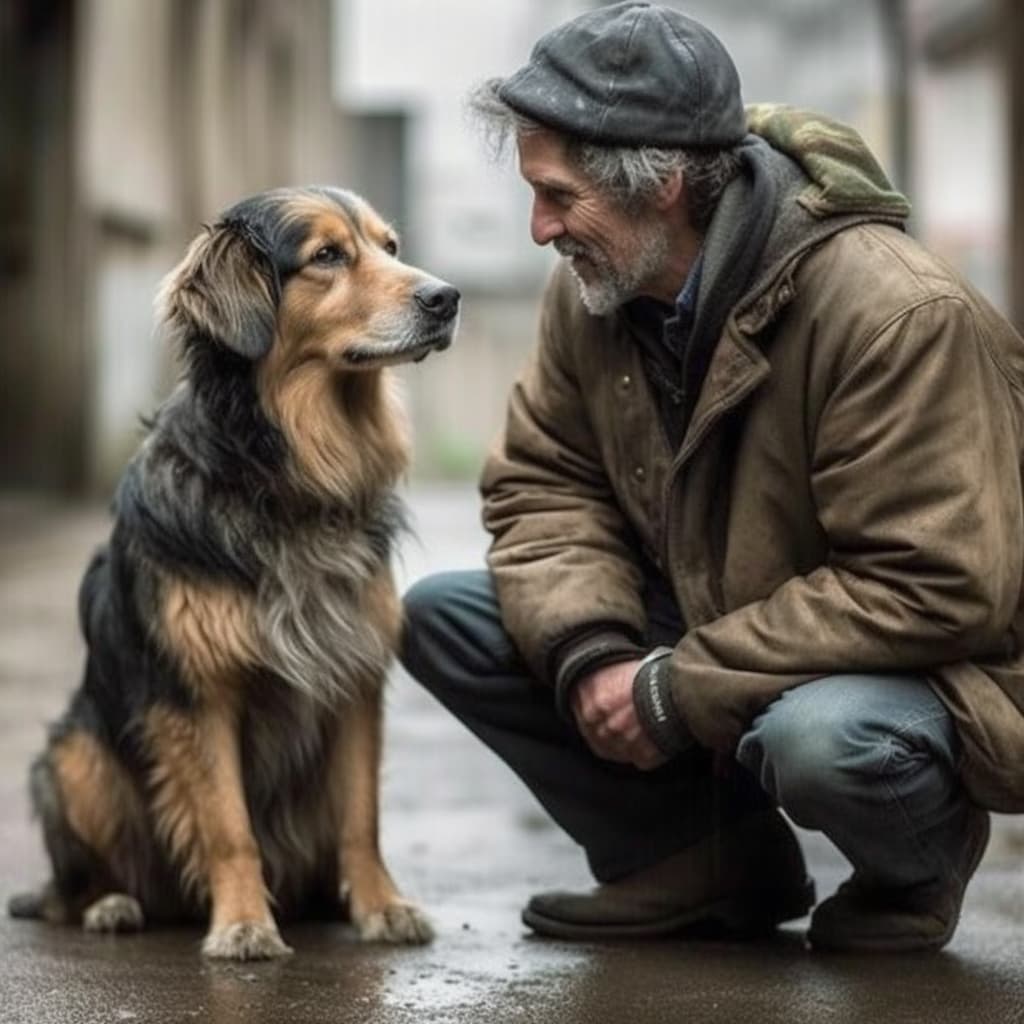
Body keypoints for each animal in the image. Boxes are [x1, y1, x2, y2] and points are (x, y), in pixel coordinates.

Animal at [7, 184, 460, 958]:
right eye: (327, 255)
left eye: (390, 247)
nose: (447, 297)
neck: (286, 474)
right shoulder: (198, 693)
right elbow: (226, 824)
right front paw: (245, 924)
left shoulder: (354, 676)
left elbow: (360, 817)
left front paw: (381, 906)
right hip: (73, 757)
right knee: (74, 887)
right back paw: (112, 905)